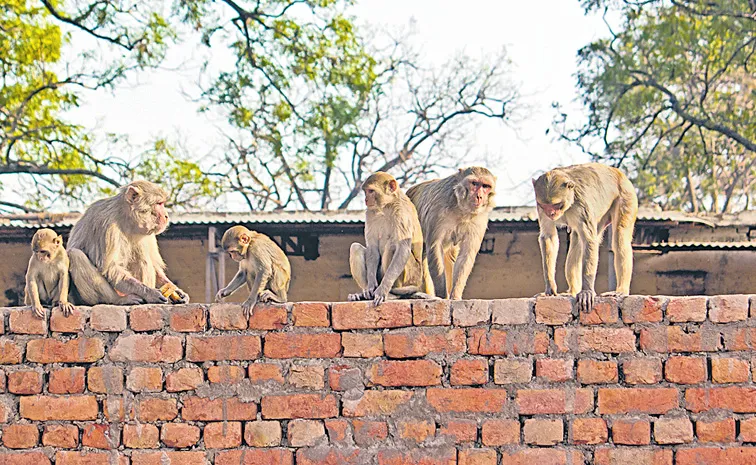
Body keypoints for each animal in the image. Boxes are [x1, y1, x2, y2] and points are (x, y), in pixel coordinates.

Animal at [348, 171, 433, 306]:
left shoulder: (401, 213)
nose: (366, 199)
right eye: (366, 191)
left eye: (371, 191)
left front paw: (383, 290)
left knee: (392, 246)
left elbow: (402, 248)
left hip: (411, 276)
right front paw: (370, 286)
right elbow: (372, 249)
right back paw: (364, 294)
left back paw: (392, 293)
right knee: (355, 247)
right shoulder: (370, 213)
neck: (387, 205)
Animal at [406, 167, 496, 300]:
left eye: (485, 186)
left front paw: (455, 295)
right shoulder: (437, 210)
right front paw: (443, 296)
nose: (479, 196)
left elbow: (466, 254)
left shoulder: (480, 219)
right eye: (474, 183)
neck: (461, 208)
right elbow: (435, 247)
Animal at [532, 162, 638, 313]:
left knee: (620, 238)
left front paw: (587, 292)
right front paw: (550, 286)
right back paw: (572, 291)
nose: (551, 213)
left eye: (556, 205)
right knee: (577, 242)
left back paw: (621, 290)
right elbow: (549, 237)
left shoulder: (582, 205)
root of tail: (618, 172)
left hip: (626, 195)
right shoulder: (540, 208)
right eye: (545, 205)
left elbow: (589, 240)